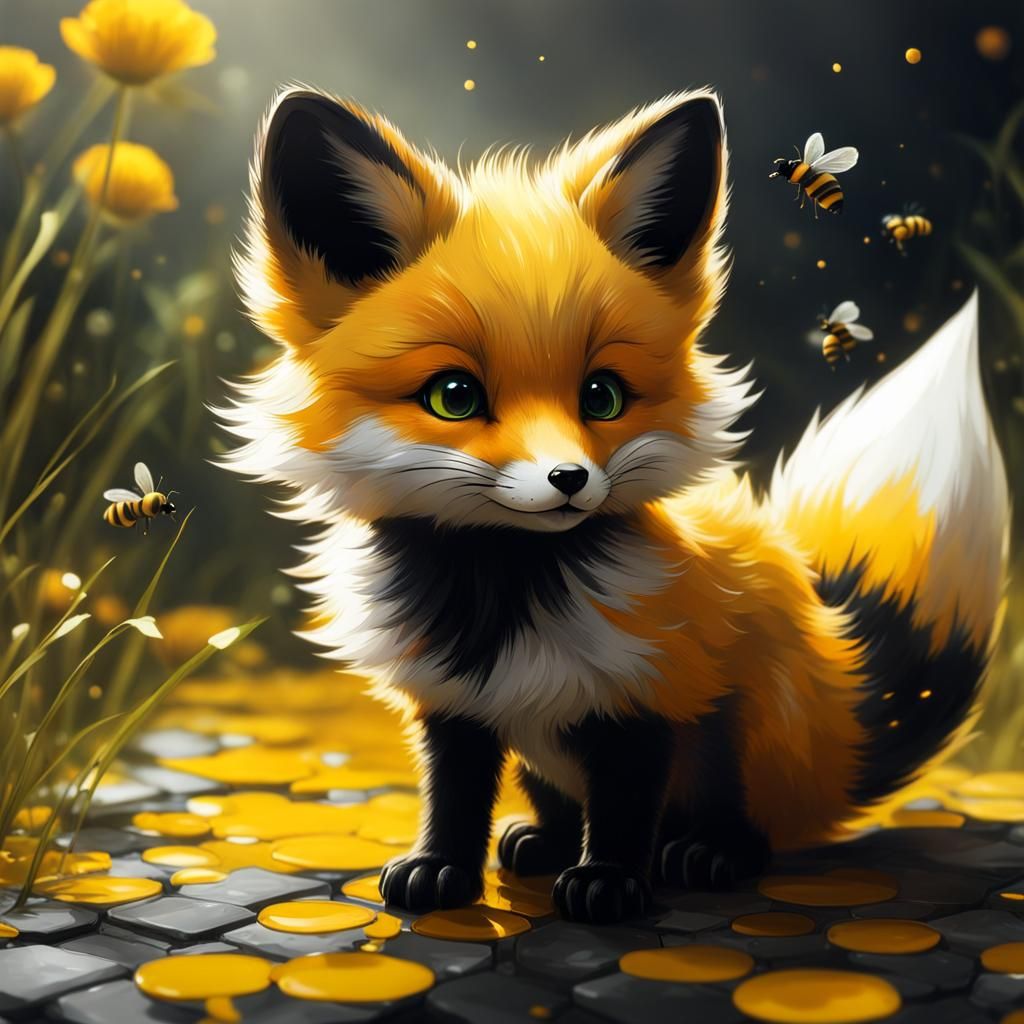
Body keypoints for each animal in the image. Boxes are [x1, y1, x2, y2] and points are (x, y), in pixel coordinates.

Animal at [217, 86, 1009, 925]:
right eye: (454, 396)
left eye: (602, 395)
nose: (570, 479)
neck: (507, 600)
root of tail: (846, 689)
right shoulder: (455, 706)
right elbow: (454, 801)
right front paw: (441, 871)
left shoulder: (651, 698)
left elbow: (625, 808)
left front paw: (608, 883)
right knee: (560, 806)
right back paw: (542, 842)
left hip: (752, 729)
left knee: (742, 824)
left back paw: (706, 853)